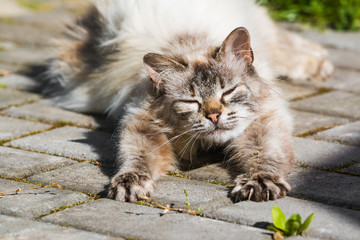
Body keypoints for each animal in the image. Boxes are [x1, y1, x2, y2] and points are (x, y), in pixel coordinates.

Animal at [29, 0, 334, 202]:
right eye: (191, 102)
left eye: (227, 92)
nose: (214, 115)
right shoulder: (142, 125)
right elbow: (135, 159)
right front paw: (130, 184)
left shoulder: (263, 122)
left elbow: (265, 157)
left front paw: (259, 184)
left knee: (293, 45)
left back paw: (321, 65)